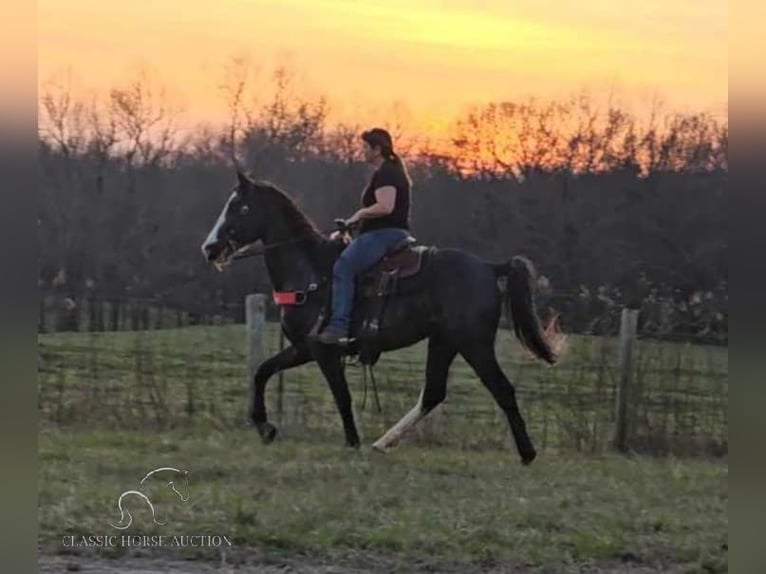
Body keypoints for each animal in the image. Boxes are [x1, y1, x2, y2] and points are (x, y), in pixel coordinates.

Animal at [202, 171, 564, 468]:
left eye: (240, 207)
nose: (210, 248)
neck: (310, 272)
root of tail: (489, 267)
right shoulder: (303, 348)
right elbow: (263, 371)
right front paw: (264, 426)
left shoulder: (323, 351)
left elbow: (342, 396)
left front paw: (351, 443)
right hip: (444, 341)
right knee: (434, 392)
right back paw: (383, 443)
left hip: (474, 344)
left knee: (502, 389)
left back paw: (527, 453)